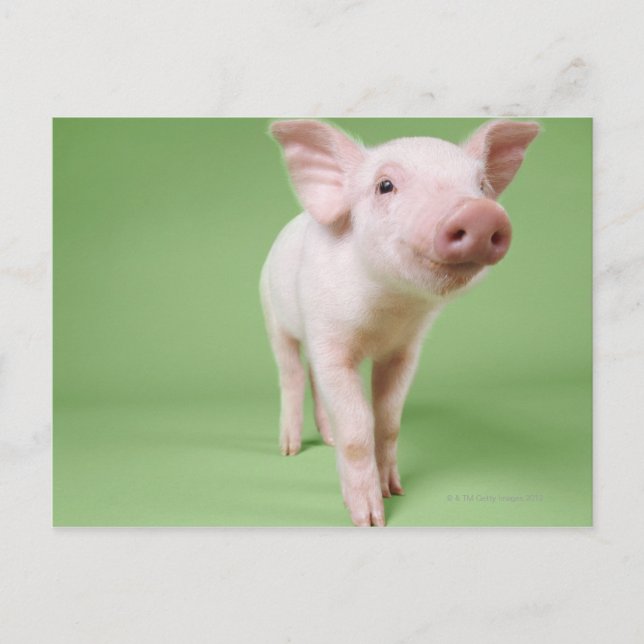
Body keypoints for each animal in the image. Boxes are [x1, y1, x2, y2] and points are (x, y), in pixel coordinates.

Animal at [260, 119, 539, 526]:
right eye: (385, 185)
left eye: (481, 185)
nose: (479, 212)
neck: (388, 310)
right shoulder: (329, 340)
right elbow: (357, 427)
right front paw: (369, 519)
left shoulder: (405, 351)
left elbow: (388, 421)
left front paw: (395, 491)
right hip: (272, 314)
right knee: (291, 375)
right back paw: (290, 450)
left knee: (312, 380)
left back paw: (327, 440)